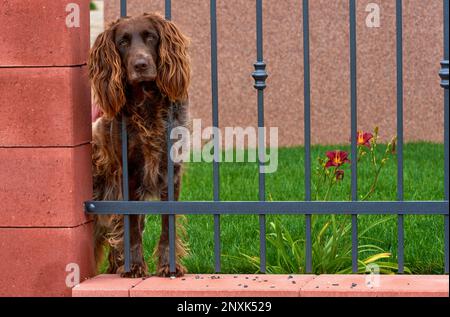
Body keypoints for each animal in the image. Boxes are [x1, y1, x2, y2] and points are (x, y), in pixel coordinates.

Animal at [88, 12, 190, 276]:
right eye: (123, 42)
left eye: (151, 37)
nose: (141, 65)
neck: (147, 106)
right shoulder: (129, 174)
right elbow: (131, 226)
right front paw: (134, 267)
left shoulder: (171, 172)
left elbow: (167, 224)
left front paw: (168, 267)